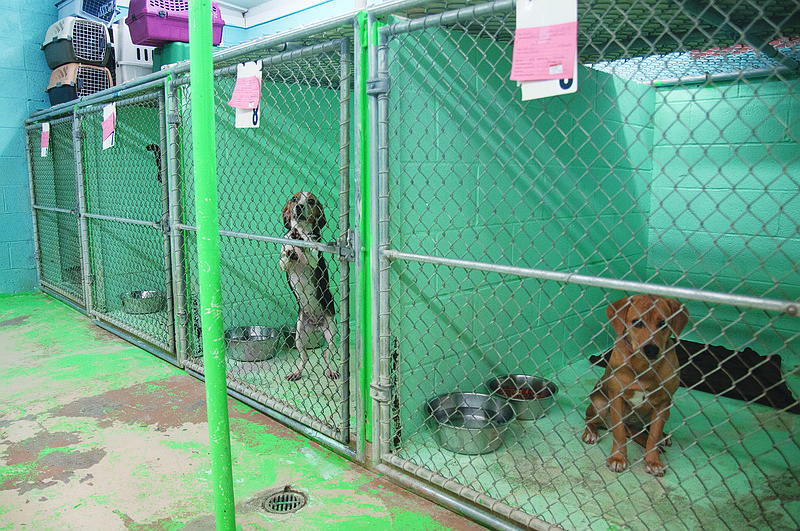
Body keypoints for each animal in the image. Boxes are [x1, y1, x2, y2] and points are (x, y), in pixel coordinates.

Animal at [580, 296, 688, 478]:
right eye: (636, 322)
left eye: (663, 323)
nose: (651, 349)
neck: (643, 367)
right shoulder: (617, 398)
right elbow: (619, 433)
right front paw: (618, 458)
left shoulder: (663, 402)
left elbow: (653, 435)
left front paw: (653, 462)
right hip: (600, 404)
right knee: (594, 421)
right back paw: (591, 433)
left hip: (666, 411)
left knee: (641, 431)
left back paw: (662, 437)